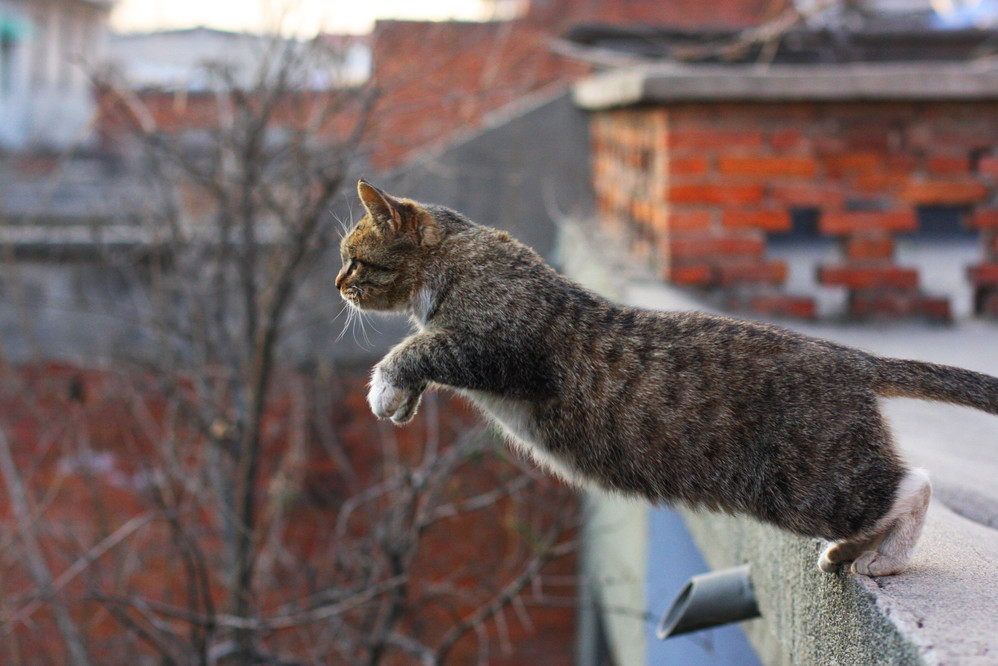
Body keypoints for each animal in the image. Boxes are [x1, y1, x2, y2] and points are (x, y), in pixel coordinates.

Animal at [338, 180, 998, 576]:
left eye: (353, 258)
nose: (338, 285)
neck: (461, 254)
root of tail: (851, 357)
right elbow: (424, 349)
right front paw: (402, 401)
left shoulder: (496, 346)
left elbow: (418, 347)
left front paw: (385, 386)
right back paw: (849, 552)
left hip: (811, 481)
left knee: (911, 486)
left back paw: (886, 557)